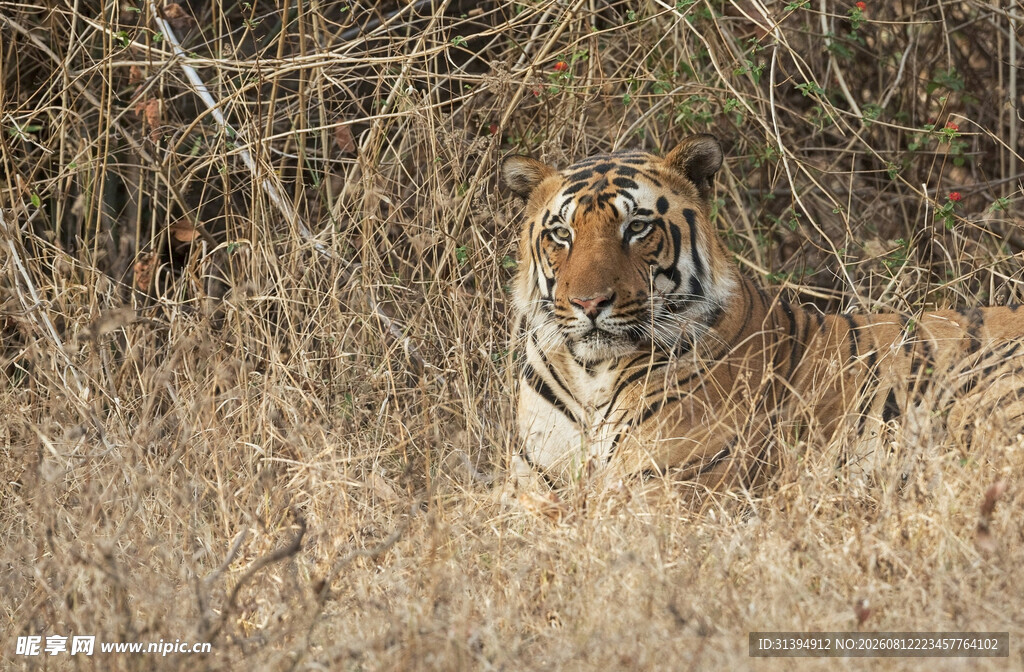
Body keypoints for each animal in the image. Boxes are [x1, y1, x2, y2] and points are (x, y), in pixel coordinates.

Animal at [501, 134, 1024, 491]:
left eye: (636, 228)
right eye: (561, 234)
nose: (589, 304)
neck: (590, 374)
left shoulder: (661, 487)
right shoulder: (531, 486)